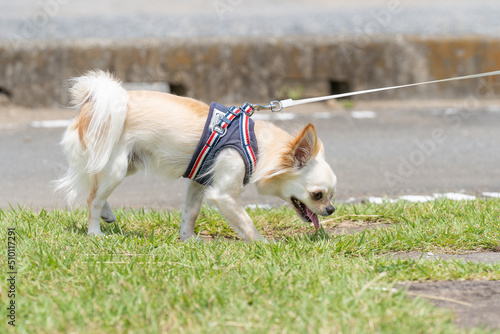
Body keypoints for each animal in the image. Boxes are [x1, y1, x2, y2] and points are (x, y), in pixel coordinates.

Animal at [56, 70, 338, 240]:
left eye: (332, 196)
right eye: (317, 195)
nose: (331, 209)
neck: (256, 145)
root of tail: (90, 106)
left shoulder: (199, 180)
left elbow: (190, 212)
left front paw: (188, 239)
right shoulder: (223, 194)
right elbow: (246, 222)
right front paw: (262, 243)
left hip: (127, 163)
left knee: (96, 189)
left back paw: (107, 214)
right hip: (116, 166)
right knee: (92, 198)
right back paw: (95, 232)